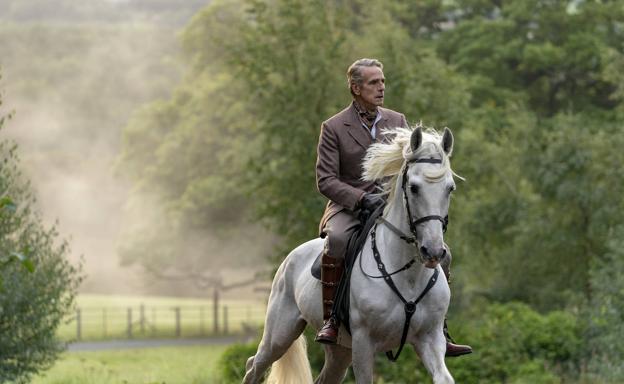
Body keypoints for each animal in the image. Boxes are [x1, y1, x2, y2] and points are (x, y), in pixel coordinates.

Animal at [244, 125, 458, 380]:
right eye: (414, 188)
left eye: (450, 188)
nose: (433, 251)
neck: (408, 275)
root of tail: (290, 258)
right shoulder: (364, 343)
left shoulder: (430, 338)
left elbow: (444, 377)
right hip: (279, 335)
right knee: (253, 366)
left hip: (339, 350)